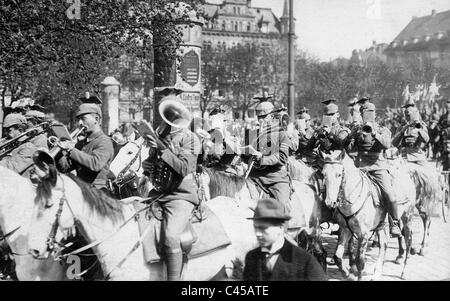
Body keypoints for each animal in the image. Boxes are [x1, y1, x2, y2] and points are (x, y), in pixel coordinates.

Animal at [322, 149, 416, 278]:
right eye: (323, 174)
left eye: (339, 175)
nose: (329, 202)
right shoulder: (345, 229)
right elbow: (337, 257)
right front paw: (348, 274)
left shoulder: (363, 234)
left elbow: (360, 262)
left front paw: (354, 272)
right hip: (382, 225)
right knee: (384, 244)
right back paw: (377, 273)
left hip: (407, 217)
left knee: (408, 240)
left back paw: (403, 271)